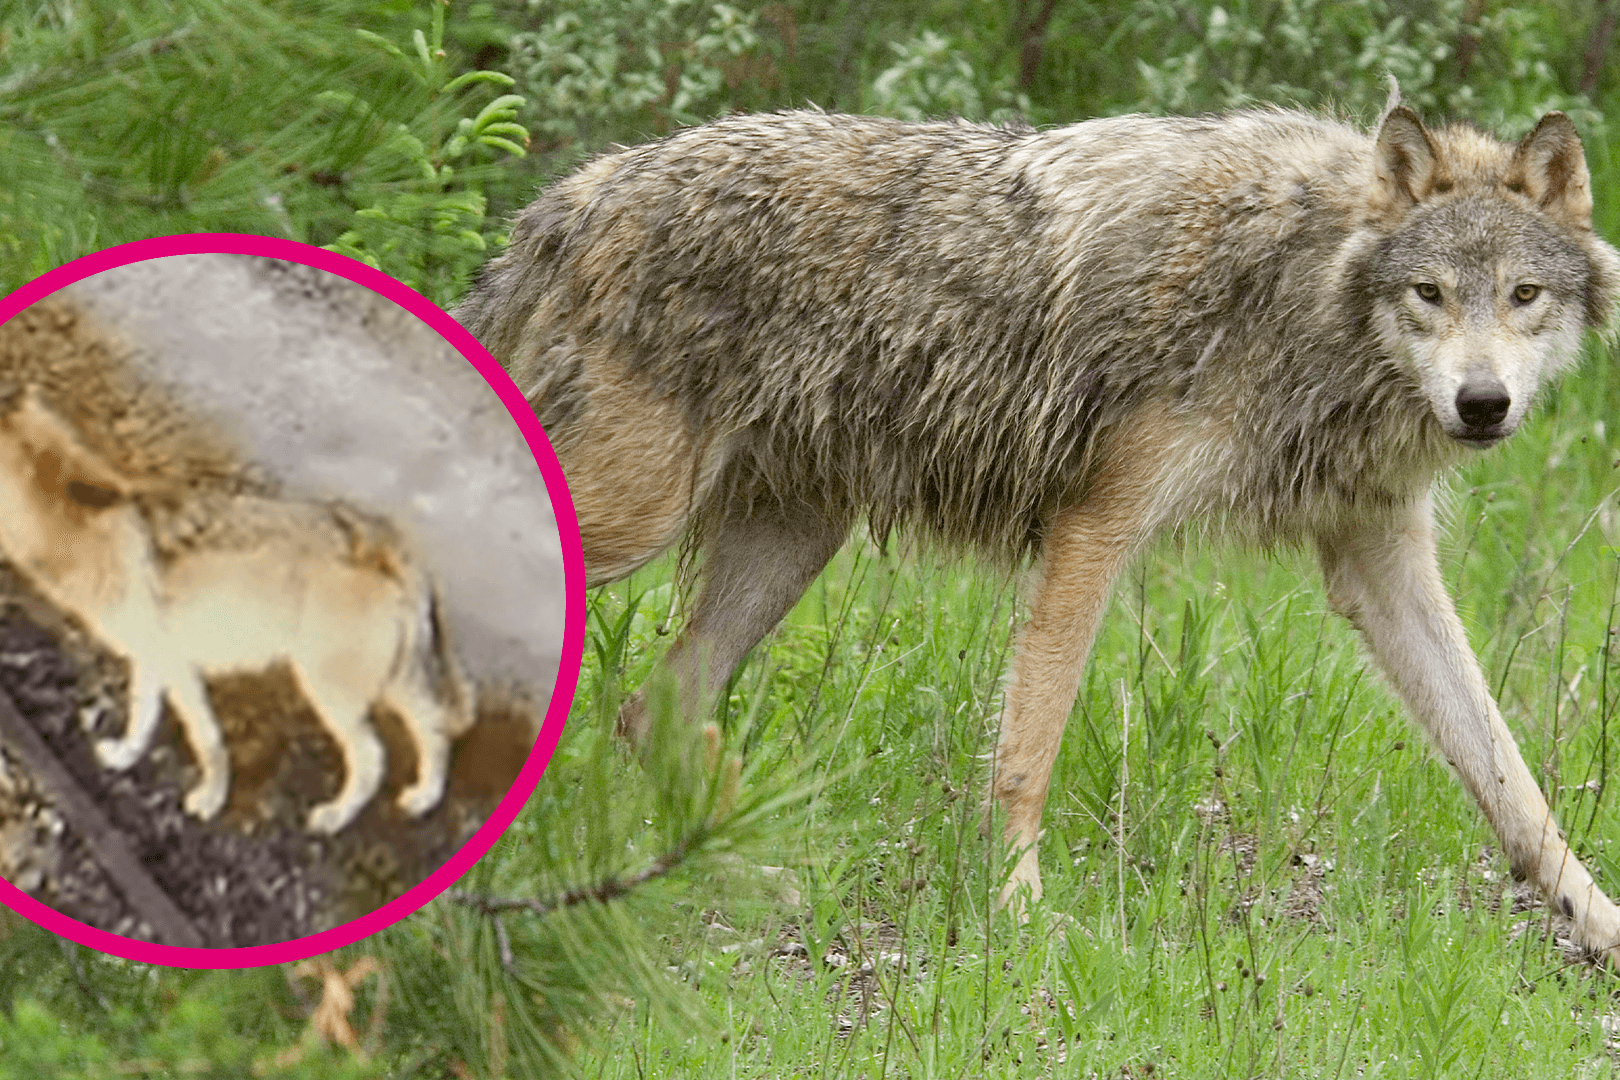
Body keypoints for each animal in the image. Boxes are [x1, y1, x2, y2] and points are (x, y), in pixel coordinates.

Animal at [0, 388, 473, 835]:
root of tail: (383, 540)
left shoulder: (178, 669)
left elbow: (207, 741)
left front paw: (210, 800)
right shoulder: (152, 662)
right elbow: (141, 718)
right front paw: (124, 757)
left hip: (331, 693)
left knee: (373, 760)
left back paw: (334, 818)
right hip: (391, 685)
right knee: (435, 729)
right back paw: (423, 798)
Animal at [453, 86, 1620, 965]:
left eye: (1524, 295)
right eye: (1430, 292)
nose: (1482, 404)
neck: (1301, 287)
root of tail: (576, 192)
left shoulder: (1380, 556)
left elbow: (1513, 778)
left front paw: (1596, 924)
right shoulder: (1095, 523)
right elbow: (1029, 748)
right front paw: (1019, 912)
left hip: (788, 544)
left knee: (652, 707)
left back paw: (748, 878)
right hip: (633, 522)